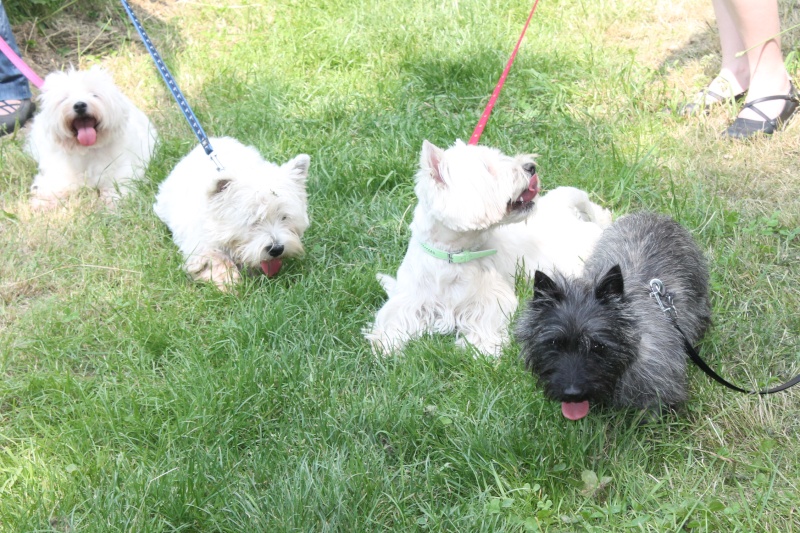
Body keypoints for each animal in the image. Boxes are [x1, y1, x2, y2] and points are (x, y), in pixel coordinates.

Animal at [27, 66, 158, 208]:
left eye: (95, 95)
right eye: (64, 98)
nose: (79, 105)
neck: (87, 150)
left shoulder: (123, 168)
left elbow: (119, 184)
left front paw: (112, 201)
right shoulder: (59, 170)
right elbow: (54, 184)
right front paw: (43, 201)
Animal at [155, 135, 310, 288]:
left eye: (284, 217)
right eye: (253, 220)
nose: (277, 249)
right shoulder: (199, 245)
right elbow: (214, 258)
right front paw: (229, 282)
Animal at [364, 139, 612, 356]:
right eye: (488, 168)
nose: (531, 167)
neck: (453, 256)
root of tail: (561, 208)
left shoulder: (492, 296)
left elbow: (486, 318)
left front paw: (481, 348)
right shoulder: (409, 298)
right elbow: (393, 318)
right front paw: (386, 344)